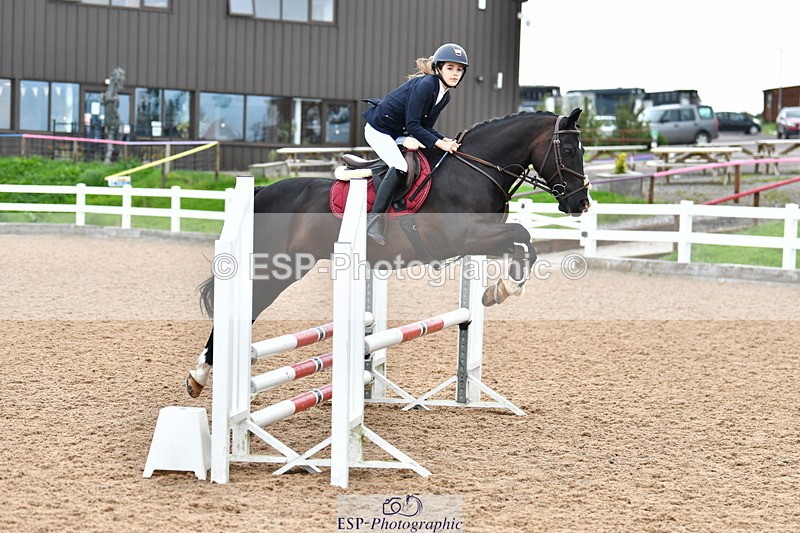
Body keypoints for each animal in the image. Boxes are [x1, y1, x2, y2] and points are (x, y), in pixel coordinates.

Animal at [185, 108, 591, 397]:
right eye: (570, 150)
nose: (581, 203)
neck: (474, 171)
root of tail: (261, 191)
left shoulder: (484, 240)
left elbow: (525, 245)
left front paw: (498, 291)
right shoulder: (465, 238)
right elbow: (523, 234)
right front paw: (503, 290)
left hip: (287, 269)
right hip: (270, 269)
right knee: (243, 309)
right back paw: (199, 376)